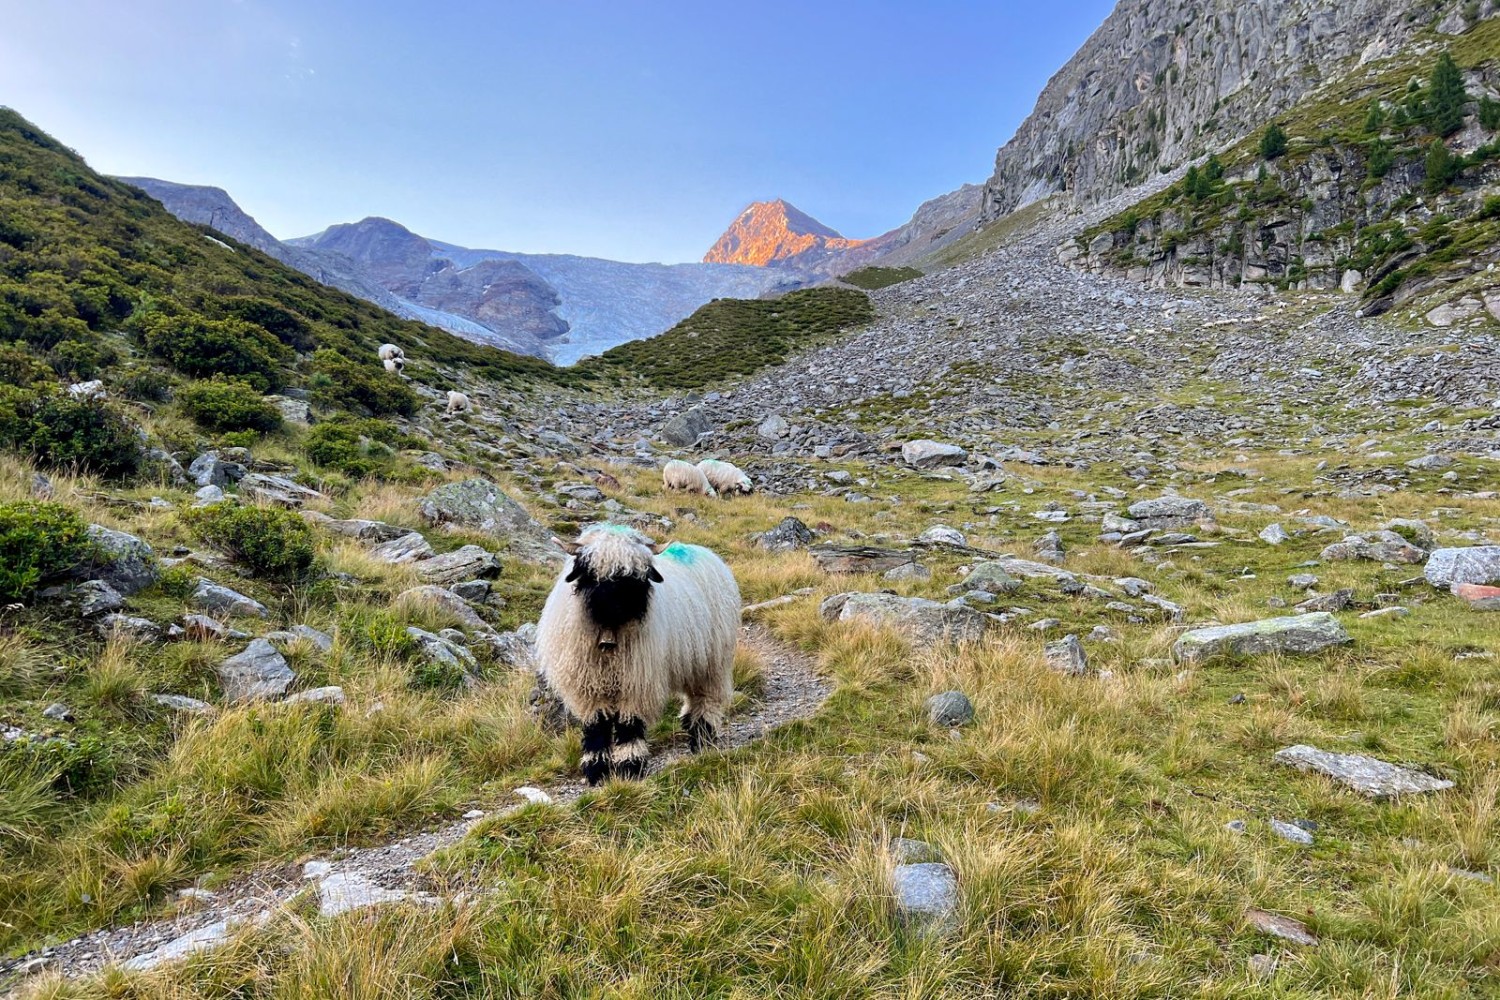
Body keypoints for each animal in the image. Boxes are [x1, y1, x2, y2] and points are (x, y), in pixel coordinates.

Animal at [536, 524, 740, 783]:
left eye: (636, 575)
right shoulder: (588, 688)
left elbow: (629, 725)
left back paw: (702, 739)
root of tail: (704, 551)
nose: (620, 608)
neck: (610, 629)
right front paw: (597, 770)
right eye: (592, 572)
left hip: (712, 661)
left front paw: (630, 768)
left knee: (706, 699)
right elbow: (596, 726)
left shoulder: (635, 683)